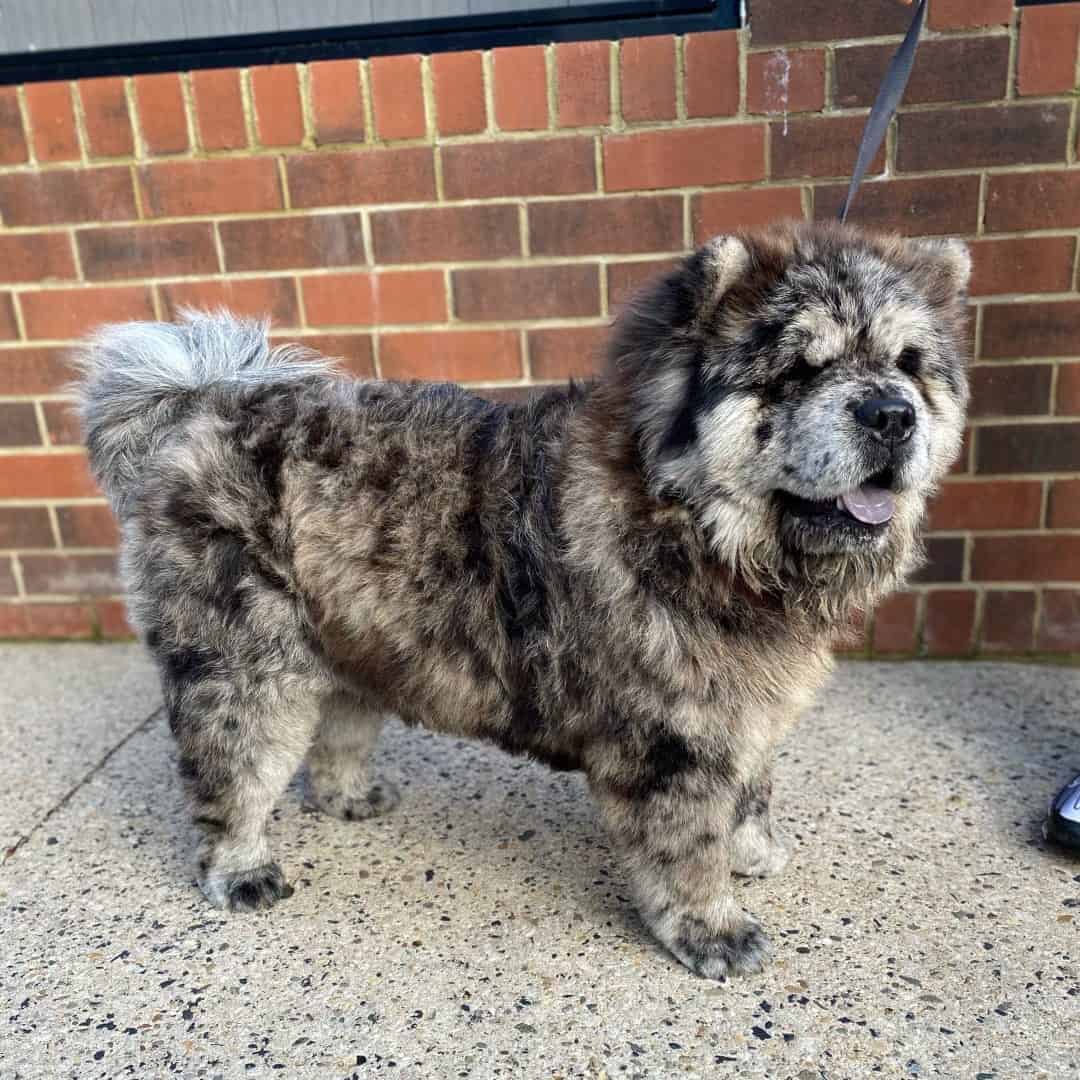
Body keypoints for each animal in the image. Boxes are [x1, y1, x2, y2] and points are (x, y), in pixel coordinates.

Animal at [73, 221, 972, 980]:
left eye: (910, 364)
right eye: (799, 369)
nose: (890, 415)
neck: (692, 522)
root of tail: (205, 404)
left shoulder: (740, 707)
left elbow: (751, 788)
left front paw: (750, 850)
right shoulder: (672, 741)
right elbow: (687, 847)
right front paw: (711, 926)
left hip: (354, 636)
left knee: (336, 734)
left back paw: (348, 796)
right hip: (243, 668)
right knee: (232, 772)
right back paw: (241, 866)